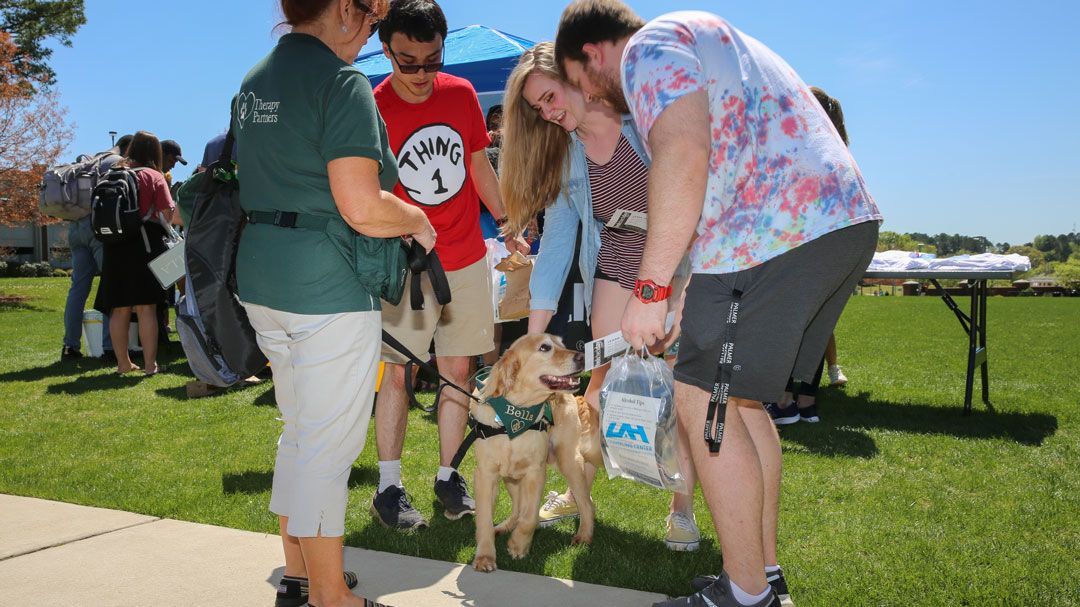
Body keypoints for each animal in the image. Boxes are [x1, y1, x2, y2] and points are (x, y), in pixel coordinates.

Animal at [473, 332, 604, 570]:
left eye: (562, 344)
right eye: (545, 348)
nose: (582, 356)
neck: (515, 414)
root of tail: (574, 397)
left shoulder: (536, 472)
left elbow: (530, 516)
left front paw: (518, 545)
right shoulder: (485, 475)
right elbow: (485, 519)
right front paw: (485, 557)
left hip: (569, 462)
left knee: (587, 505)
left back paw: (584, 536)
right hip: (511, 477)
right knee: (517, 508)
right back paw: (504, 527)